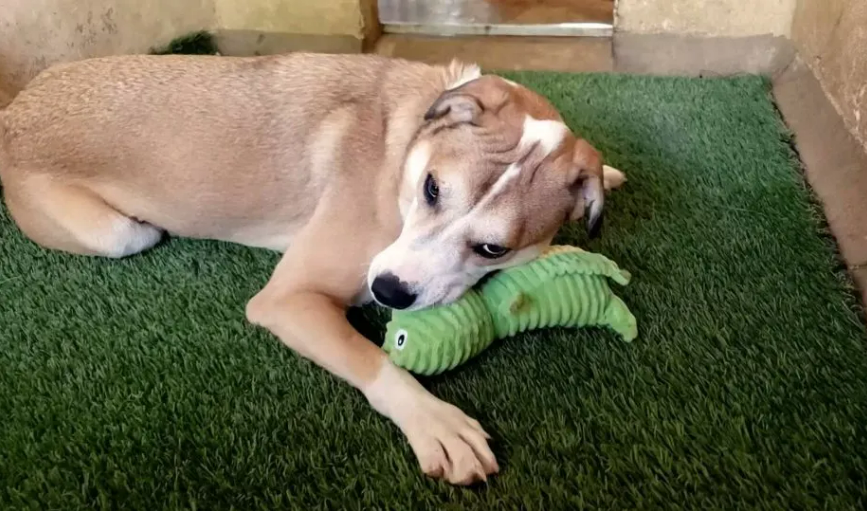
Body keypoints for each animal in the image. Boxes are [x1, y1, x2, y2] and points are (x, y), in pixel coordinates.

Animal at [0, 54, 624, 486]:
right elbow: (373, 361)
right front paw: (434, 422)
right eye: (432, 189)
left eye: (493, 249)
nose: (388, 290)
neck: (405, 143)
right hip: (122, 235)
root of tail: (12, 114)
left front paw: (608, 175)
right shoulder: (288, 299)